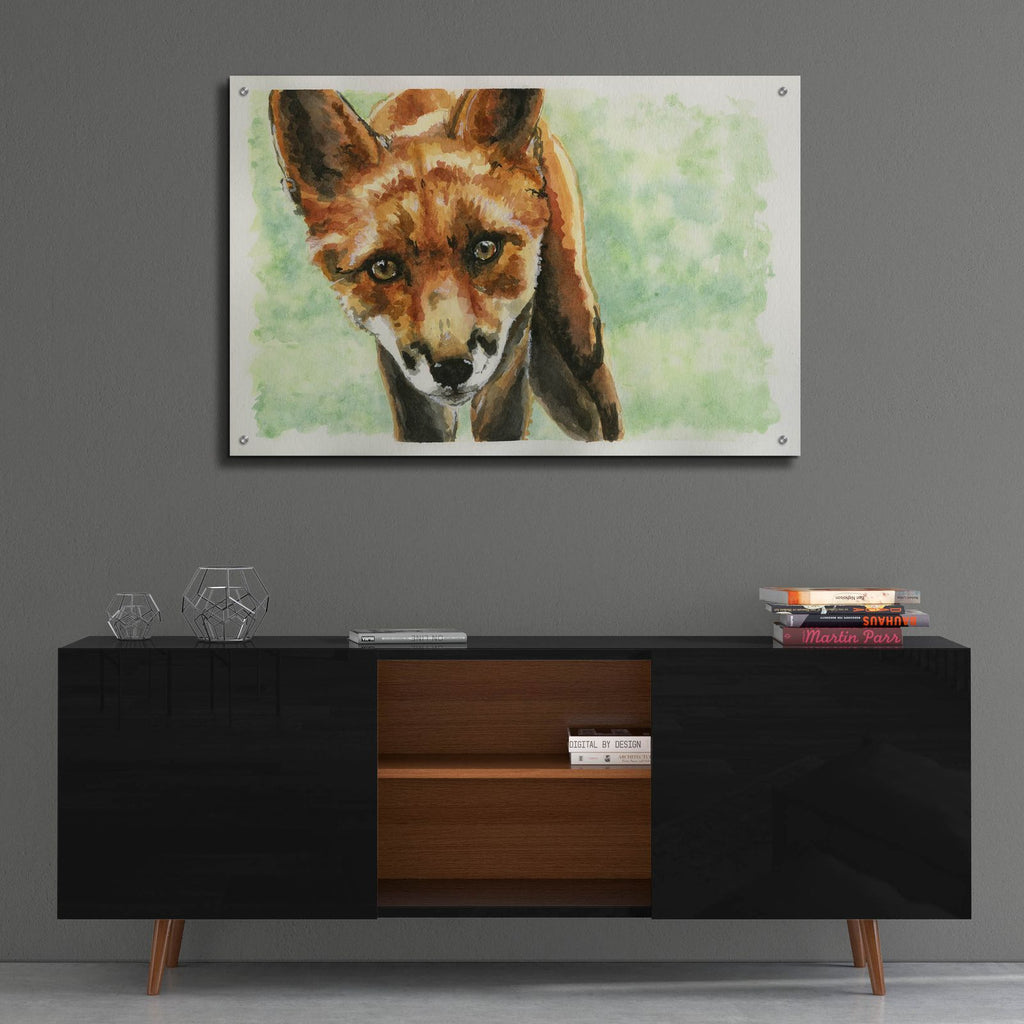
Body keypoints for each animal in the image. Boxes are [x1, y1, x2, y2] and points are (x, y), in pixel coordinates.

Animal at [268, 88, 623, 442]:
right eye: (383, 268)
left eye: (485, 248)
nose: (452, 369)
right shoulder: (400, 371)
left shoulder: (513, 342)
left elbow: (499, 424)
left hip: (580, 341)